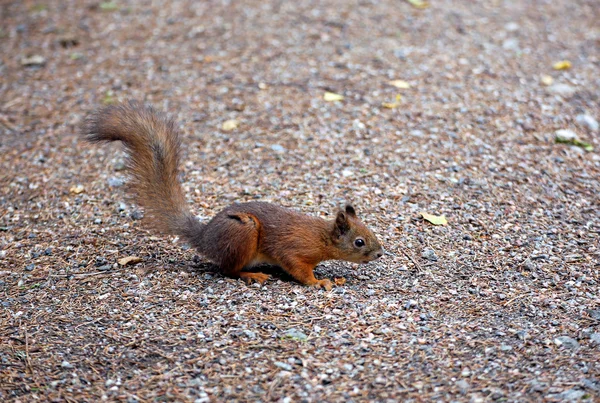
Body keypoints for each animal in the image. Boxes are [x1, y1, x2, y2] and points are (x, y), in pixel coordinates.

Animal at [82, 101, 382, 290]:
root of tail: (205, 238)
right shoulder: (294, 250)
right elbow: (298, 269)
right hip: (243, 234)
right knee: (227, 270)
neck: (321, 238)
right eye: (359, 242)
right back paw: (253, 274)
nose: (380, 254)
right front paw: (319, 282)